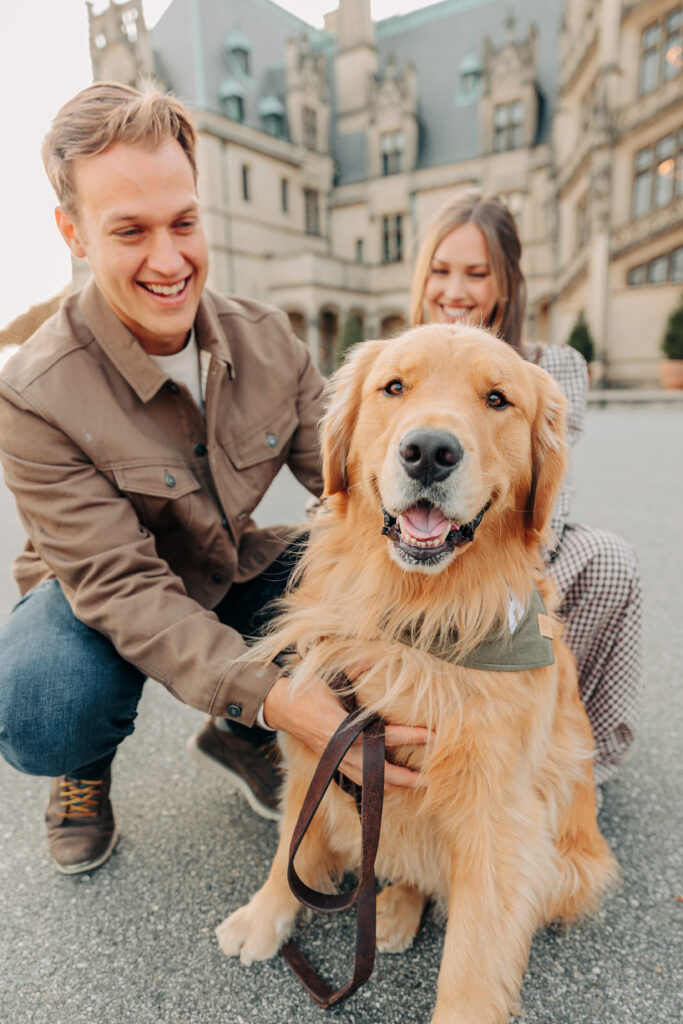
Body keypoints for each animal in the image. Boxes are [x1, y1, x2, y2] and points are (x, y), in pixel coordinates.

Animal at [216, 325, 618, 1024]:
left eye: (497, 399)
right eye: (394, 386)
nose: (429, 451)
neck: (416, 619)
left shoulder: (499, 819)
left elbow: (473, 959)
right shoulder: (323, 740)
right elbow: (293, 842)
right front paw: (264, 915)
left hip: (565, 866)